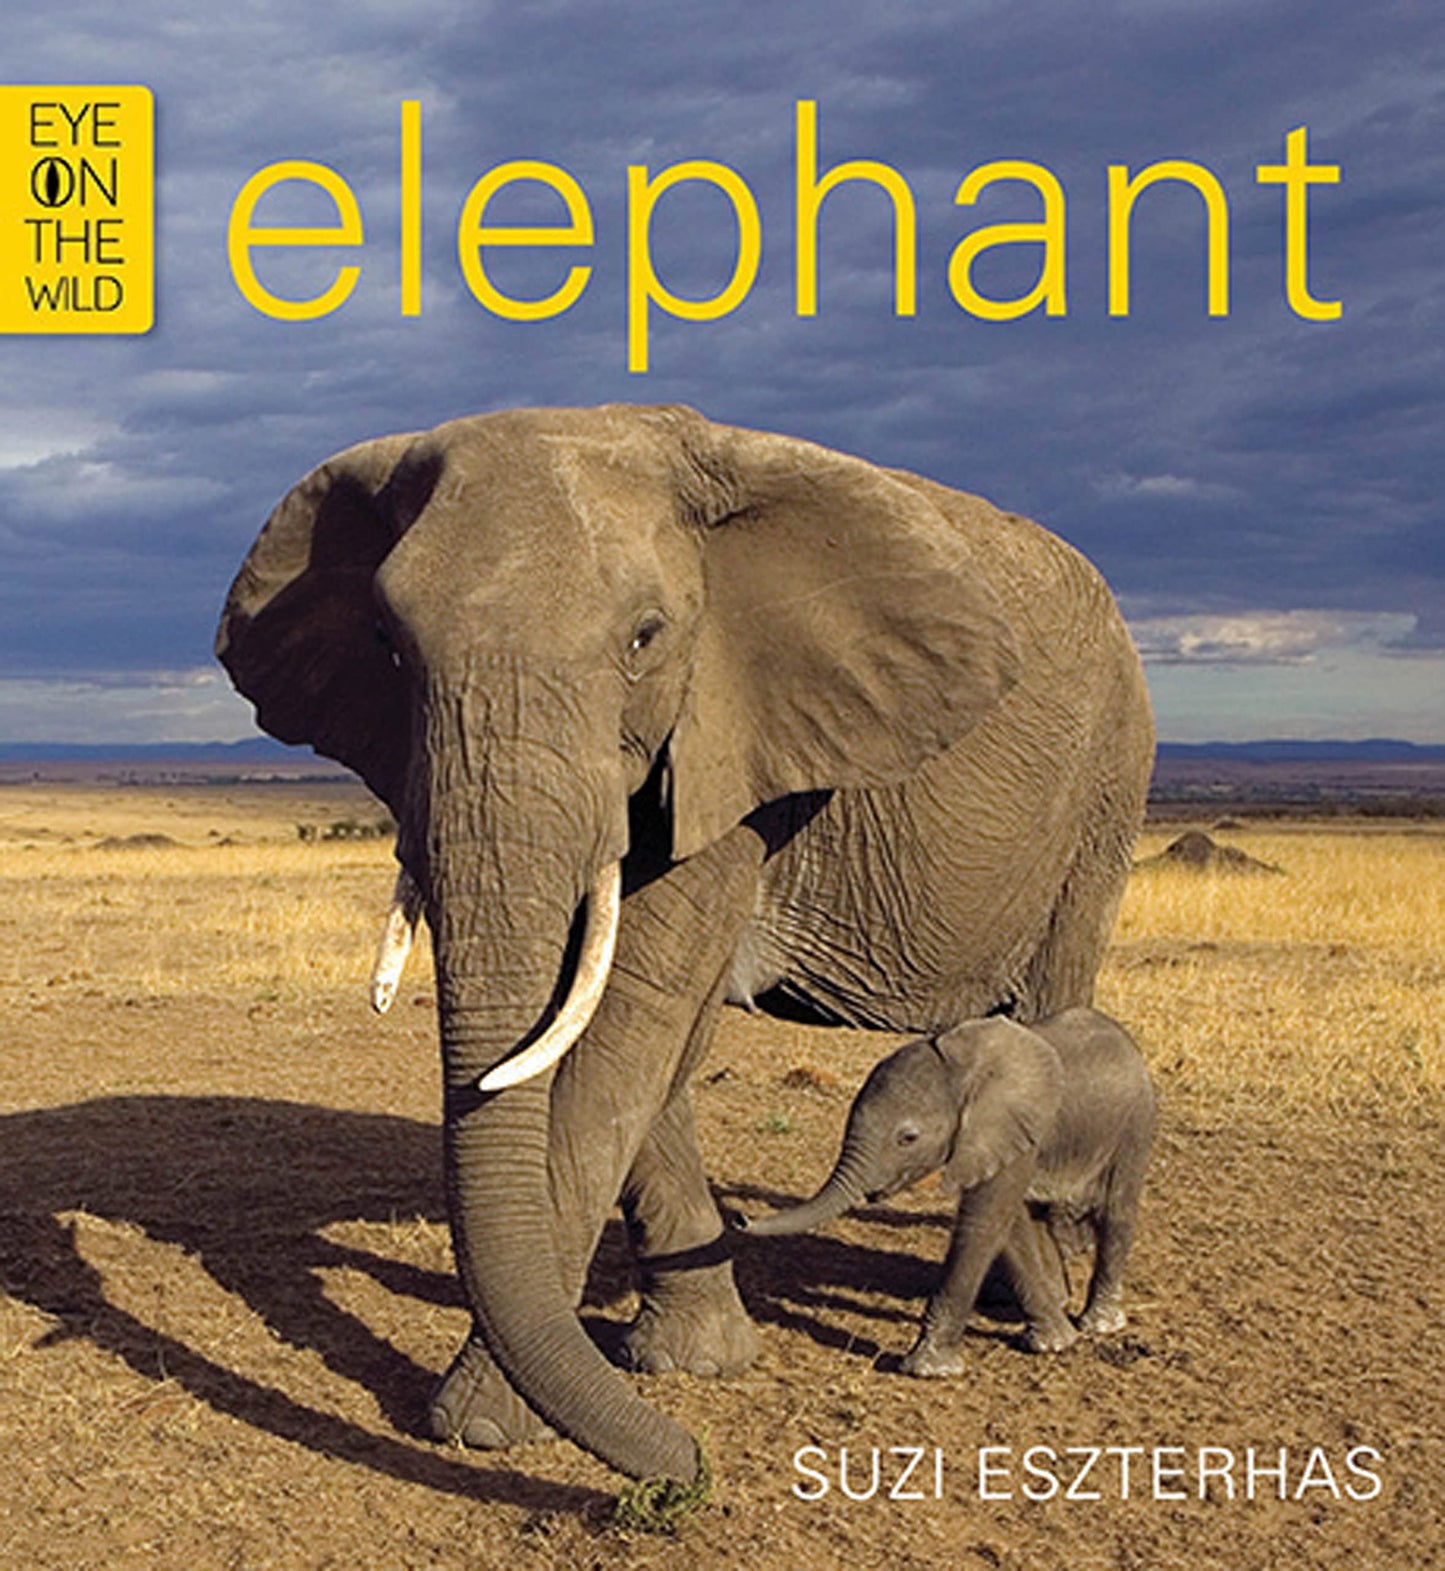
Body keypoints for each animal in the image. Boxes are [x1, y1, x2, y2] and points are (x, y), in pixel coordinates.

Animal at [739, 1008, 1157, 1373]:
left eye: (907, 1138)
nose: (741, 1220)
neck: (961, 1072)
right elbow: (1007, 1227)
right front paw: (1053, 1341)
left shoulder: (1007, 1127)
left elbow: (983, 1223)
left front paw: (927, 1367)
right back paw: (1058, 1302)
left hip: (1135, 1125)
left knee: (1117, 1212)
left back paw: (1100, 1323)